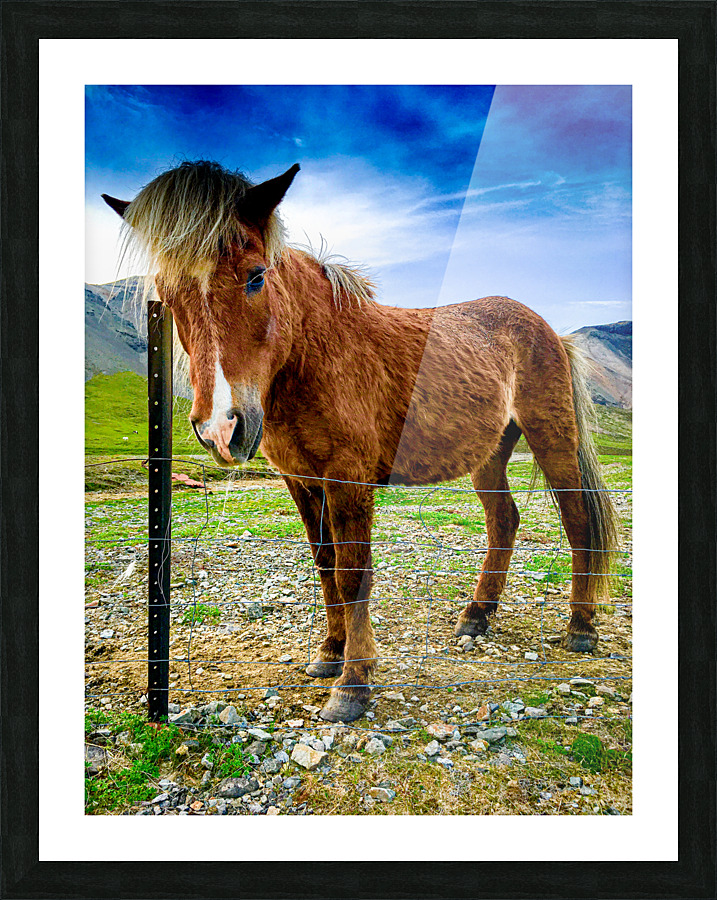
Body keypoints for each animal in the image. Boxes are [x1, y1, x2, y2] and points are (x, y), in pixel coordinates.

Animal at [103, 160, 618, 723]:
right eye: (167, 293)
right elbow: (326, 566)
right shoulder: (302, 481)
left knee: (578, 522)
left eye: (256, 276)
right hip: (489, 455)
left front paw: (353, 684)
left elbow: (353, 573)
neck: (313, 353)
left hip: (552, 439)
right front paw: (329, 654)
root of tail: (550, 331)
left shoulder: (348, 480)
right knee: (504, 521)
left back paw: (581, 628)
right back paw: (477, 615)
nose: (222, 428)